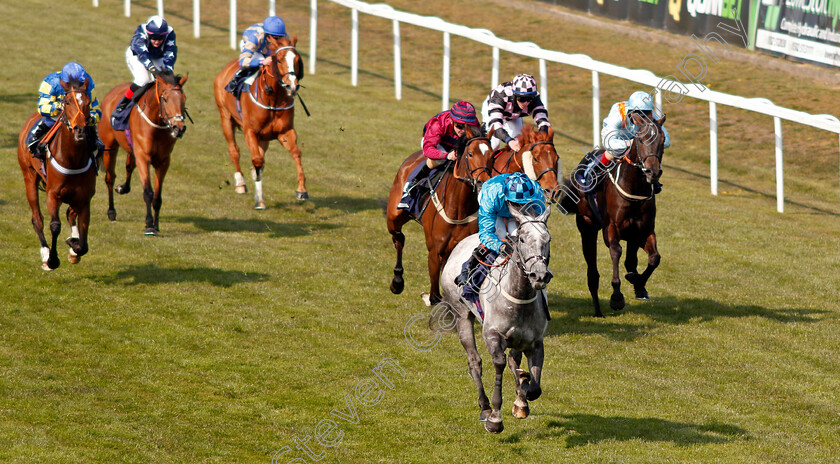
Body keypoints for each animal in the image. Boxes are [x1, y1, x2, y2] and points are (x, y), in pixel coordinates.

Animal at [17, 77, 96, 270]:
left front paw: (74, 246)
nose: (80, 130)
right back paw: (45, 253)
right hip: (29, 176)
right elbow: (54, 225)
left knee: (70, 214)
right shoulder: (53, 194)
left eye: (88, 102)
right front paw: (53, 259)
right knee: (37, 219)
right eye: (67, 102)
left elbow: (83, 241)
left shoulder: (84, 197)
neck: (72, 159)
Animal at [97, 70, 188, 236]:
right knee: (109, 178)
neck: (156, 126)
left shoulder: (163, 161)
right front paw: (149, 225)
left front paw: (156, 225)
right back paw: (111, 211)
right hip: (109, 147)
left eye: (184, 99)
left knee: (128, 166)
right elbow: (148, 192)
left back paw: (122, 188)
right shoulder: (143, 158)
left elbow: (157, 197)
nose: (179, 128)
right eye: (165, 99)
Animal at [213, 36, 308, 208]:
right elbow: (257, 160)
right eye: (279, 60)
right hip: (225, 118)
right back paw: (241, 183)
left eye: (297, 60)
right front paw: (259, 200)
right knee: (234, 150)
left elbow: (296, 153)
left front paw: (302, 190)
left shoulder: (285, 132)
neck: (273, 98)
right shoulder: (250, 131)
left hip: (263, 138)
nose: (292, 86)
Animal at [440, 205, 552, 434]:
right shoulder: (492, 335)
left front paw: (522, 397)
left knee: (514, 359)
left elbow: (534, 388)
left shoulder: (535, 342)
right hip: (461, 315)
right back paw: (484, 407)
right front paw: (495, 418)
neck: (519, 297)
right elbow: (499, 363)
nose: (538, 276)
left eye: (548, 239)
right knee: (474, 362)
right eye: (522, 239)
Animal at [560, 113, 668, 320]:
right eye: (641, 140)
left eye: (662, 140)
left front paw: (638, 282)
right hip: (587, 226)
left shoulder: (644, 231)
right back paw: (597, 311)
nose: (653, 172)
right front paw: (616, 297)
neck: (634, 187)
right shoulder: (610, 229)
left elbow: (654, 258)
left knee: (631, 260)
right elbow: (616, 251)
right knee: (592, 274)